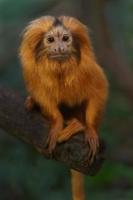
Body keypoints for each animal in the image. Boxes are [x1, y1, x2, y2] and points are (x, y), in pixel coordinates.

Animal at [19, 16, 108, 200]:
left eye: (66, 38)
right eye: (51, 40)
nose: (59, 47)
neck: (60, 67)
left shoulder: (87, 68)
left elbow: (98, 91)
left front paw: (90, 130)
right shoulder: (34, 74)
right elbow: (44, 97)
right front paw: (57, 125)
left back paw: (77, 125)